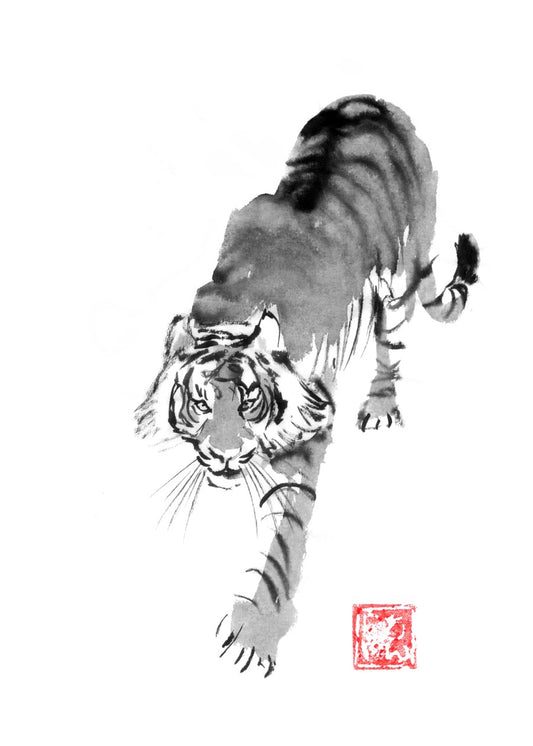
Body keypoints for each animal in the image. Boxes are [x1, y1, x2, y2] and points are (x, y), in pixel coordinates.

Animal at [135, 94, 479, 678]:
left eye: (250, 401)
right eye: (201, 402)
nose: (224, 457)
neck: (234, 309)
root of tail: (376, 100)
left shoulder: (305, 441)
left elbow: (282, 540)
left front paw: (255, 634)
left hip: (398, 278)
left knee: (393, 341)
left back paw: (381, 405)